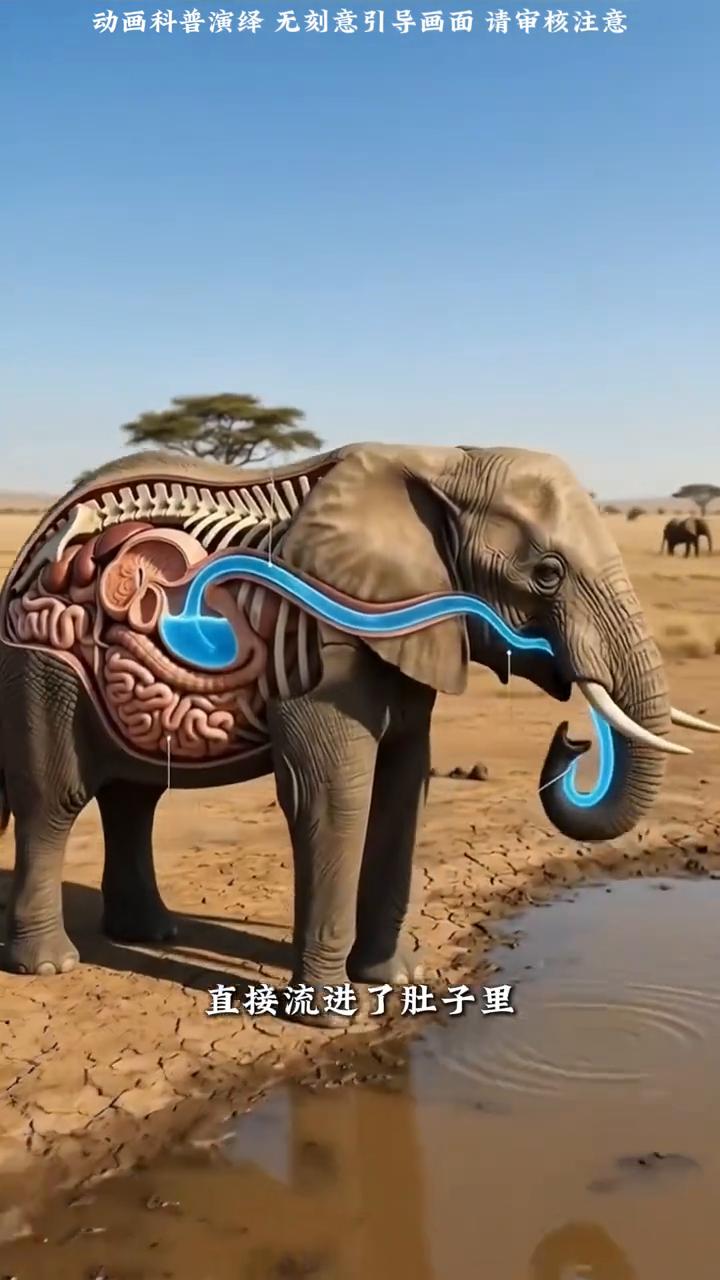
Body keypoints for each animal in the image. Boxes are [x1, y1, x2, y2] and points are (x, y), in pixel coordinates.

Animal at [0, 442, 717, 1024]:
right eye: (546, 573)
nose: (570, 740)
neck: (445, 462)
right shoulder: (327, 643)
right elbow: (332, 796)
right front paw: (328, 1017)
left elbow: (406, 787)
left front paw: (396, 980)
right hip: (45, 655)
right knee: (56, 799)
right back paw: (52, 965)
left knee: (134, 797)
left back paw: (150, 936)